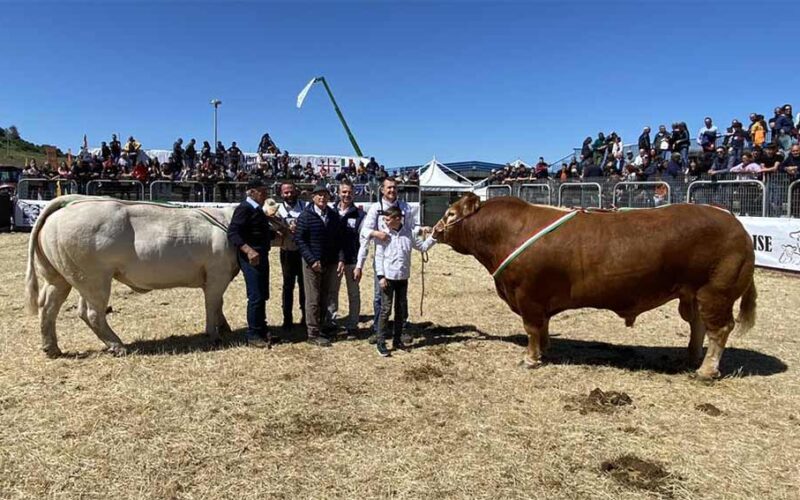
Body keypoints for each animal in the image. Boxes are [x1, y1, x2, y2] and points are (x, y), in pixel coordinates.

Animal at [25, 194, 250, 356]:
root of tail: (68, 207)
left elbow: (218, 304)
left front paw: (225, 327)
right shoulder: (217, 273)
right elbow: (212, 303)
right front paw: (214, 335)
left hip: (60, 276)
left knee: (49, 307)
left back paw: (52, 348)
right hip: (94, 278)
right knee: (91, 313)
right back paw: (118, 346)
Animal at [438, 194, 756, 378]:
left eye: (451, 214)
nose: (432, 229)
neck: (507, 232)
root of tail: (735, 223)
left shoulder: (527, 295)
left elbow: (532, 329)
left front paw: (530, 359)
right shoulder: (539, 300)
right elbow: (543, 327)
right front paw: (545, 350)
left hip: (716, 291)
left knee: (719, 329)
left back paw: (706, 370)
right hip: (691, 294)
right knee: (698, 324)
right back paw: (690, 358)